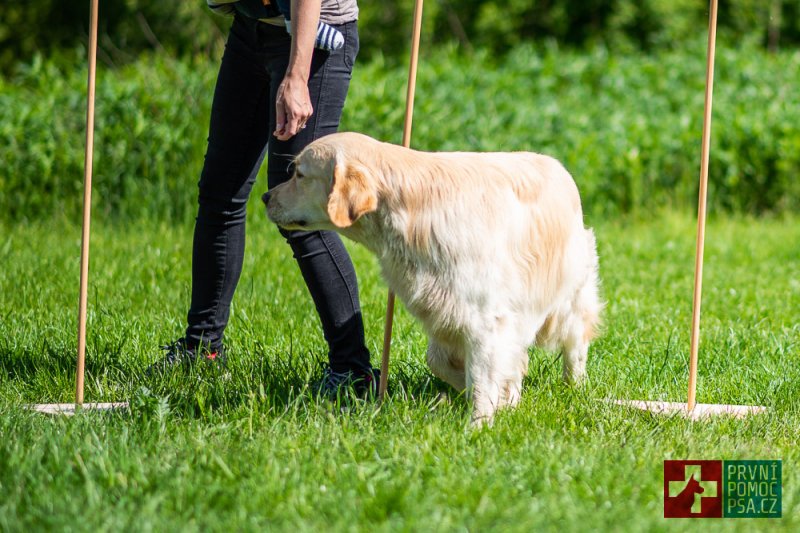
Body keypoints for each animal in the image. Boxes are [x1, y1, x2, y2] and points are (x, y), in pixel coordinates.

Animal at [264, 131, 600, 422]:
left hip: (568, 299)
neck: (413, 216)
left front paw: (479, 424)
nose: (266, 196)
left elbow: (482, 375)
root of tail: (558, 166)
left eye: (299, 174)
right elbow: (440, 361)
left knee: (575, 343)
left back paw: (575, 387)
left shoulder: (485, 318)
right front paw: (498, 397)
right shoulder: (445, 313)